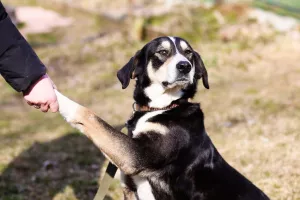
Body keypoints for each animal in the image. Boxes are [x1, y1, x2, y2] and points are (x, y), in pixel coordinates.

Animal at [54, 36, 270, 200]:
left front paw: (55, 96)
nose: (184, 66)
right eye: (162, 52)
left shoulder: (135, 155)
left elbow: (89, 115)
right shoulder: (129, 187)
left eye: (188, 53)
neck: (161, 107)